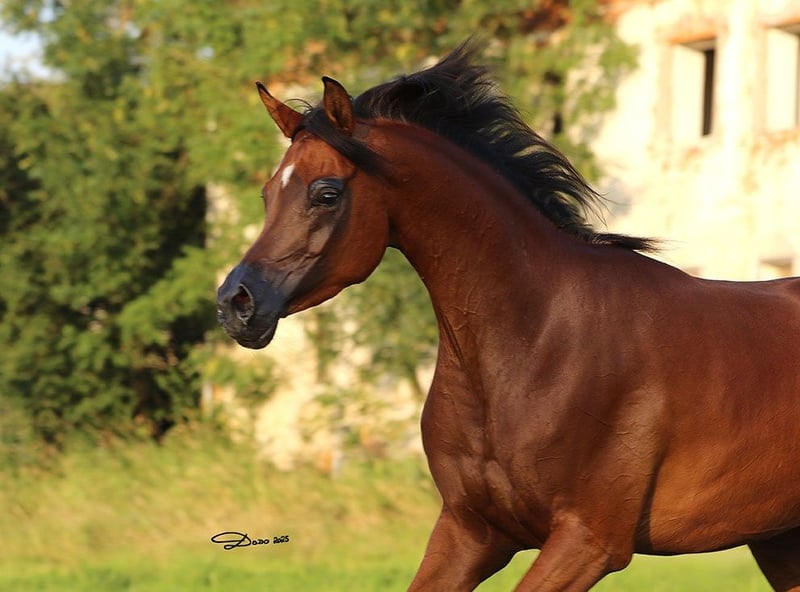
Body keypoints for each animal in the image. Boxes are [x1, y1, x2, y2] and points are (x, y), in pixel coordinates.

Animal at [217, 44, 800, 591]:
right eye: (267, 193)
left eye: (326, 193)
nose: (235, 304)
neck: (537, 341)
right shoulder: (471, 532)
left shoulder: (588, 542)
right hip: (776, 542)